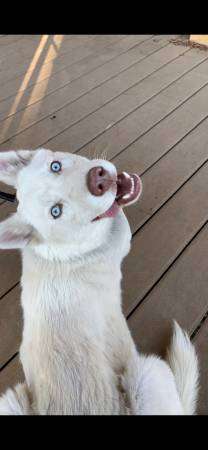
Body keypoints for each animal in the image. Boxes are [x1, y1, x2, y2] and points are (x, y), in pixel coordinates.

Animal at [0, 150, 199, 414]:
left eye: (55, 166)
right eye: (56, 211)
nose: (99, 179)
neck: (66, 252)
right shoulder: (123, 237)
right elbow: (119, 214)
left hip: (9, 403)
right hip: (149, 373)